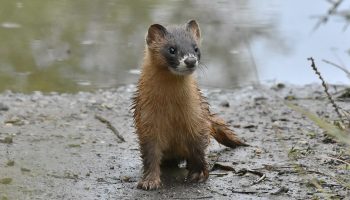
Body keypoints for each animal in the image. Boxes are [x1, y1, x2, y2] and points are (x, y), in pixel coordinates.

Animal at [133, 19, 247, 190]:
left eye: (196, 48)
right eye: (172, 49)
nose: (191, 60)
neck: (171, 110)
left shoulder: (196, 118)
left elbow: (198, 149)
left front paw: (198, 174)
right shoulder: (147, 122)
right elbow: (150, 155)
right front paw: (149, 181)